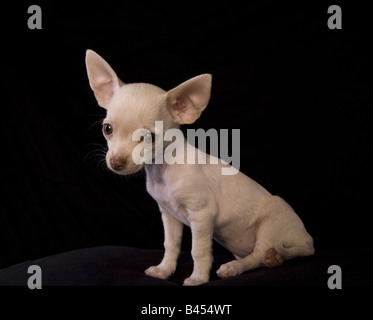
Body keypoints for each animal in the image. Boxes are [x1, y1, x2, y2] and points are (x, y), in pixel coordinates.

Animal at [85, 50, 314, 288]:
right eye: (107, 129)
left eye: (149, 138)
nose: (116, 162)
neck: (164, 170)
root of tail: (307, 240)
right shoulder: (169, 215)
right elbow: (171, 245)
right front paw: (164, 270)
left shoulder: (202, 215)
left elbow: (199, 251)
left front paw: (198, 278)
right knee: (265, 256)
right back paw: (274, 259)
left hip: (270, 224)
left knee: (258, 254)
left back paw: (234, 267)